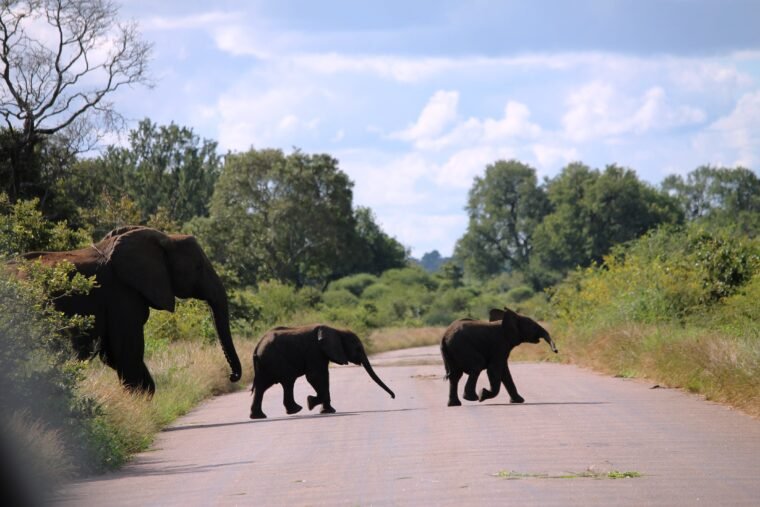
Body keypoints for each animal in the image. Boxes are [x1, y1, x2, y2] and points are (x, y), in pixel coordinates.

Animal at [17, 226, 242, 395]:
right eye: (198, 267)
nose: (232, 377)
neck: (165, 238)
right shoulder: (119, 295)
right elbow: (126, 351)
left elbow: (114, 355)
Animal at [250, 325, 395, 419]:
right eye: (358, 348)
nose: (393, 397)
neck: (337, 330)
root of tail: (257, 346)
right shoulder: (314, 351)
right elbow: (315, 376)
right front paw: (310, 402)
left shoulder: (322, 353)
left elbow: (324, 376)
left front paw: (327, 411)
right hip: (274, 360)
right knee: (286, 381)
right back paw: (296, 410)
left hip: (265, 364)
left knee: (263, 386)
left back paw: (259, 416)